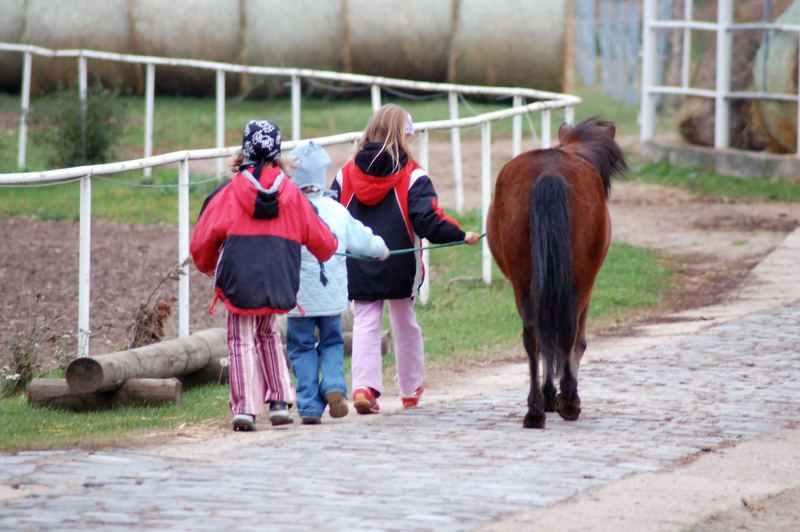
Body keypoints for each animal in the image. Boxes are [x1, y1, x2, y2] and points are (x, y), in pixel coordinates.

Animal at [488, 117, 624, 428]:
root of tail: (549, 172)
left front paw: (549, 396)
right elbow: (576, 342)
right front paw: (559, 397)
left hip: (524, 282)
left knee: (533, 334)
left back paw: (535, 410)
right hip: (580, 282)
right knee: (568, 334)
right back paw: (568, 402)